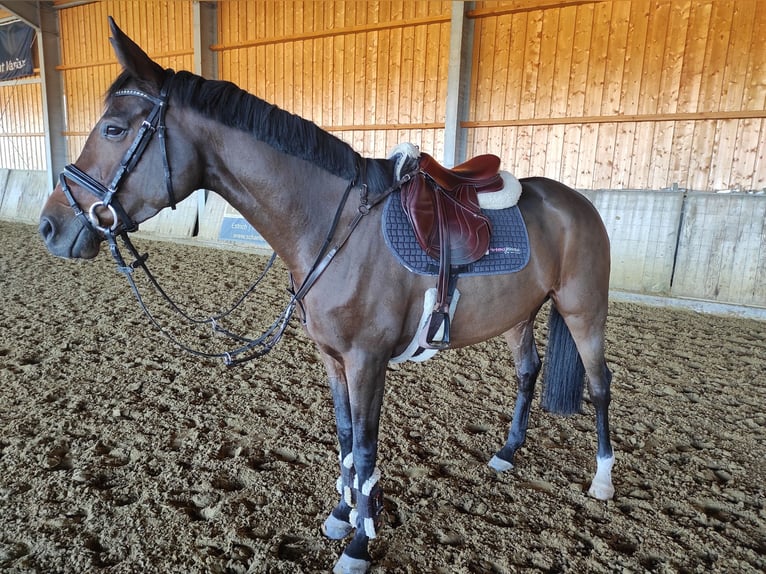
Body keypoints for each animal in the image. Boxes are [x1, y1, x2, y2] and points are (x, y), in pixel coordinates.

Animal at [40, 19, 616, 574]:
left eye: (114, 129)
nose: (51, 226)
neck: (332, 227)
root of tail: (577, 202)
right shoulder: (332, 358)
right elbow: (342, 437)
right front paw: (343, 515)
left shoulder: (367, 361)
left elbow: (364, 448)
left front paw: (359, 545)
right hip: (520, 314)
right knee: (528, 371)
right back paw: (508, 452)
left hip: (583, 311)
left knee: (599, 384)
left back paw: (603, 479)